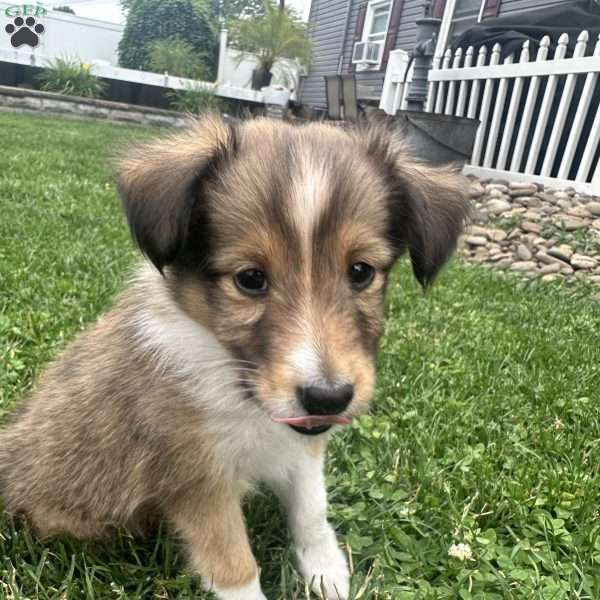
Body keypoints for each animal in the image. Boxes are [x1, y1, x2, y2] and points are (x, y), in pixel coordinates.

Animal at [0, 117, 468, 600]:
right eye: (250, 279)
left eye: (361, 271)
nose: (328, 398)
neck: (232, 377)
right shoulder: (198, 481)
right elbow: (234, 564)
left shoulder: (300, 445)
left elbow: (311, 507)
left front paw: (326, 571)